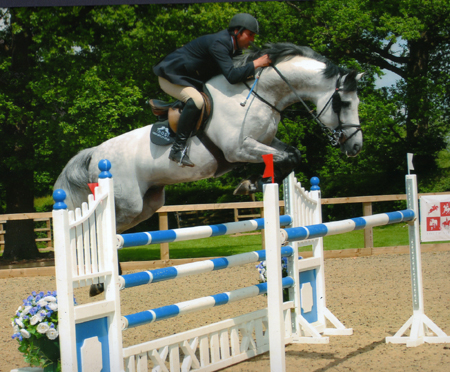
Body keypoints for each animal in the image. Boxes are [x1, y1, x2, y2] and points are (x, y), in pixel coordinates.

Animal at [54, 43, 364, 234]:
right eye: (344, 103)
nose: (356, 146)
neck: (259, 93)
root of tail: (95, 153)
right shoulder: (239, 149)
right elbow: (284, 157)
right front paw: (252, 183)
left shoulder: (265, 142)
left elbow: (292, 155)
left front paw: (253, 183)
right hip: (129, 202)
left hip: (148, 203)